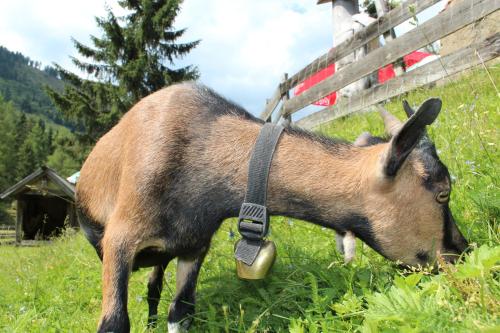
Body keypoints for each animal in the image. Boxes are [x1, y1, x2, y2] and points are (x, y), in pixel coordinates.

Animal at [75, 82, 468, 330]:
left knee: (156, 286)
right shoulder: (120, 239)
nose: (463, 250)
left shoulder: (194, 245)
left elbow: (182, 310)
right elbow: (114, 323)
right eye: (443, 193)